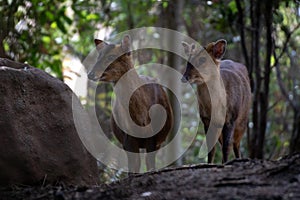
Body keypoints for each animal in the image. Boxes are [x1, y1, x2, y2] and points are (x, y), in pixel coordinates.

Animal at [87, 35, 173, 173]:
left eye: (111, 57)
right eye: (98, 56)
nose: (90, 74)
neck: (141, 119)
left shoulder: (154, 136)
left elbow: (149, 163)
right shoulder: (127, 136)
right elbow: (134, 165)